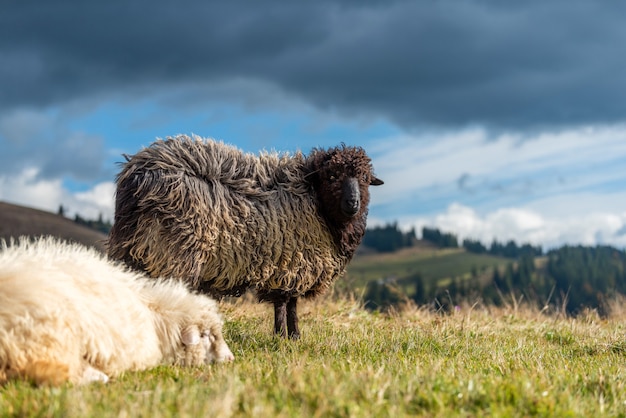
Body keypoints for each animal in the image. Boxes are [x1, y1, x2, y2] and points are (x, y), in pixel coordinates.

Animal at [0, 237, 233, 386]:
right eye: (206, 336)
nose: (231, 359)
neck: (154, 312)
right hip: (49, 336)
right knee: (53, 371)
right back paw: (97, 377)